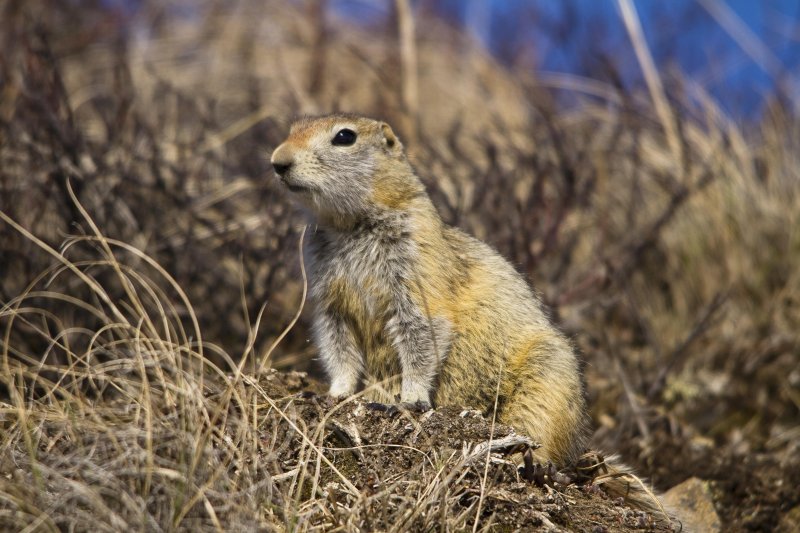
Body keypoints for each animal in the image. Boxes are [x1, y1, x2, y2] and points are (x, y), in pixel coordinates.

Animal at [272, 113, 672, 520]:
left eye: (344, 137)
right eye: (292, 128)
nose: (278, 162)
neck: (347, 225)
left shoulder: (416, 271)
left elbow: (422, 332)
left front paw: (408, 399)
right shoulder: (328, 300)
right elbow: (337, 345)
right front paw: (335, 394)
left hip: (547, 381)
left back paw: (533, 465)